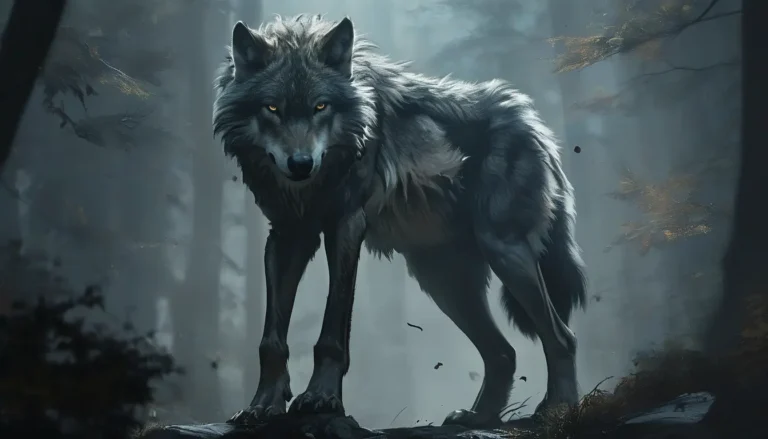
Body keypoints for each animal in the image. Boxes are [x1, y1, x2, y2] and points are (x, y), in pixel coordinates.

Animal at [213, 15, 587, 427]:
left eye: (320, 106)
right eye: (272, 108)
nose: (300, 164)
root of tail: (534, 123)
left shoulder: (346, 226)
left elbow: (332, 330)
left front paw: (322, 399)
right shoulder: (287, 236)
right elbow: (271, 340)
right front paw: (262, 405)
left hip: (504, 253)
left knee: (562, 337)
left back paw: (558, 409)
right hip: (443, 282)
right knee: (503, 353)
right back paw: (478, 417)